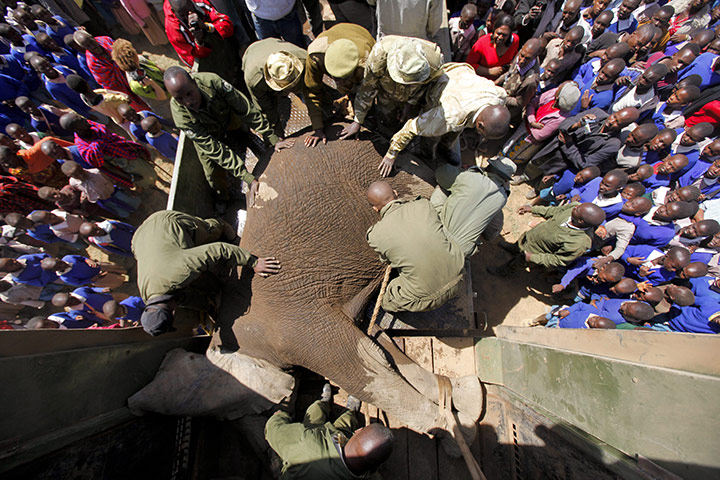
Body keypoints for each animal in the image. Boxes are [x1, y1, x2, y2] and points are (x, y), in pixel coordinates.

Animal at [129, 126, 484, 455]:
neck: (228, 339)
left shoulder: (291, 325)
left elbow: (361, 364)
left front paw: (457, 434)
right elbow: (377, 347)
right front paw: (463, 401)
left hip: (385, 171)